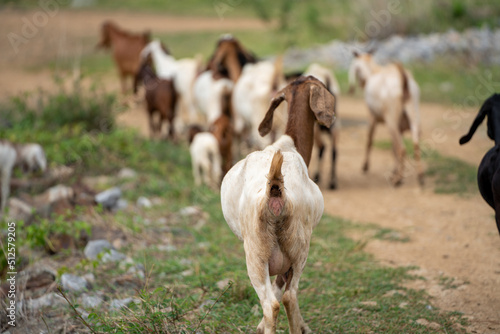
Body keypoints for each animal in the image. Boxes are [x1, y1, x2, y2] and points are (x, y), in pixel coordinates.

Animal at [222, 76, 336, 334]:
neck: (288, 144)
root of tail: (275, 188)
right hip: (294, 248)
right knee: (286, 298)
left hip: (262, 252)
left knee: (276, 301)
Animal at [350, 51, 424, 187]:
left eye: (356, 67)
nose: (358, 85)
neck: (374, 71)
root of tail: (404, 80)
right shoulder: (400, 127)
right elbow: (392, 147)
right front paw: (394, 171)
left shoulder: (372, 116)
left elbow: (370, 140)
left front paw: (365, 166)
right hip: (413, 114)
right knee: (415, 145)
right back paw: (420, 177)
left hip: (392, 119)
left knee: (402, 149)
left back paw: (398, 180)